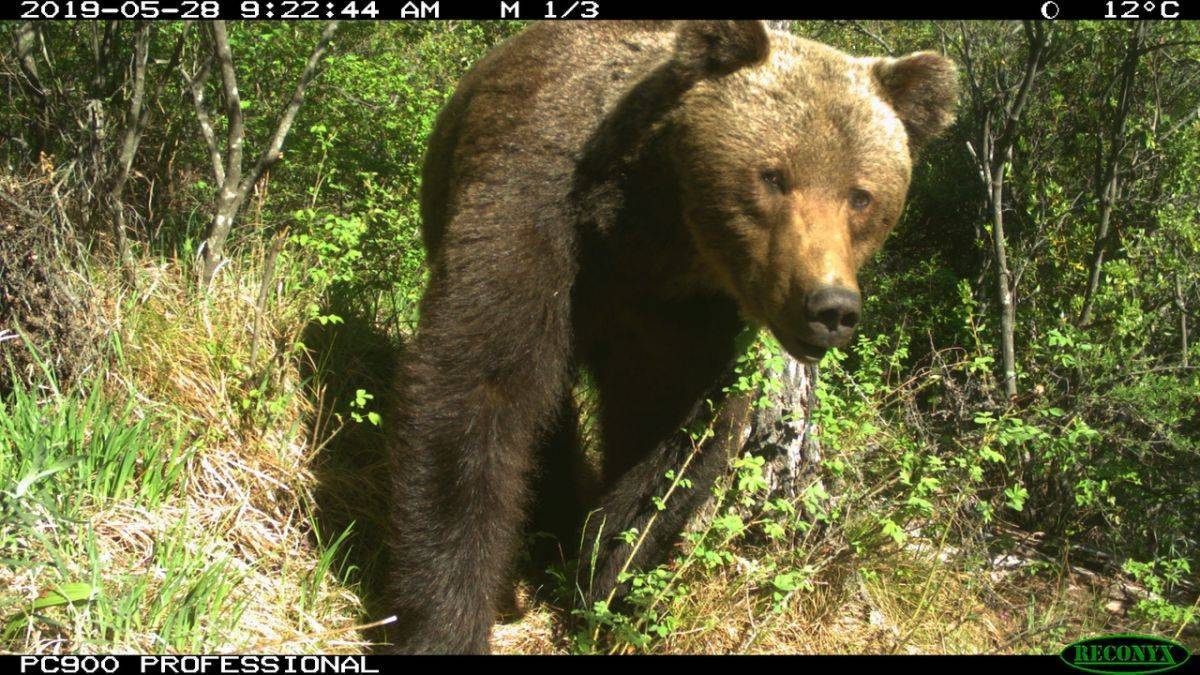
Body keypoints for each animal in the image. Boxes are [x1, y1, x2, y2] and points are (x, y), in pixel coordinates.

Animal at [384, 21, 955, 653]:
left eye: (861, 196)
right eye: (773, 175)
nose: (829, 307)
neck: (646, 232)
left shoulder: (687, 315)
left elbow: (669, 438)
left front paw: (606, 579)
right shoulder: (535, 213)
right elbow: (478, 382)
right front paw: (449, 620)